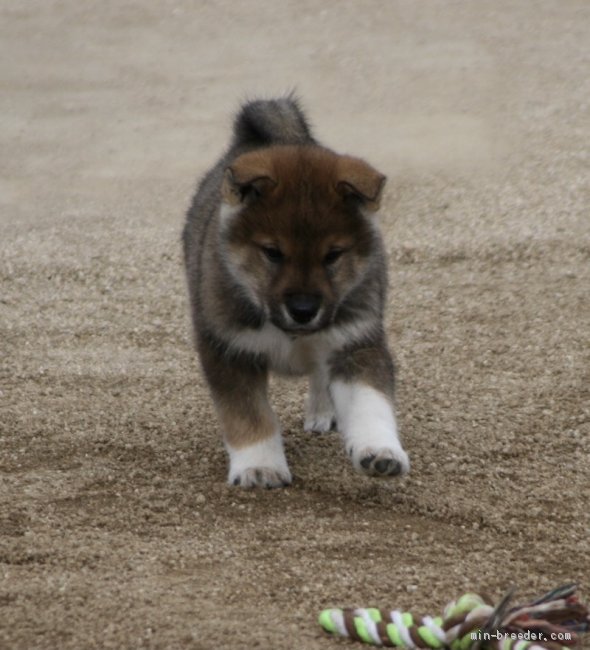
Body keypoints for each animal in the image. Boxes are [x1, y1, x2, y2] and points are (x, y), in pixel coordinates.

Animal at [185, 96, 412, 486]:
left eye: (332, 255)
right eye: (273, 253)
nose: (304, 310)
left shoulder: (355, 343)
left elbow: (370, 405)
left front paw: (380, 451)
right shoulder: (229, 349)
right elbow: (247, 414)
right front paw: (259, 465)